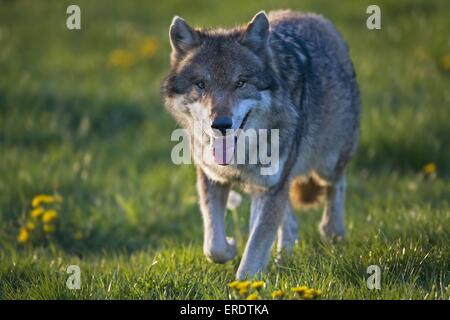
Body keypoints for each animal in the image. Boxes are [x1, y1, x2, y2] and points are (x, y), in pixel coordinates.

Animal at [162, 9, 358, 280]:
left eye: (241, 83)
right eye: (201, 84)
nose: (220, 124)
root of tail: (311, 16)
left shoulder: (270, 187)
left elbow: (255, 246)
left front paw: (246, 283)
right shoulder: (213, 177)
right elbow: (213, 245)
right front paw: (231, 247)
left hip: (325, 165)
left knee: (336, 185)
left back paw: (332, 232)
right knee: (291, 224)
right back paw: (283, 261)